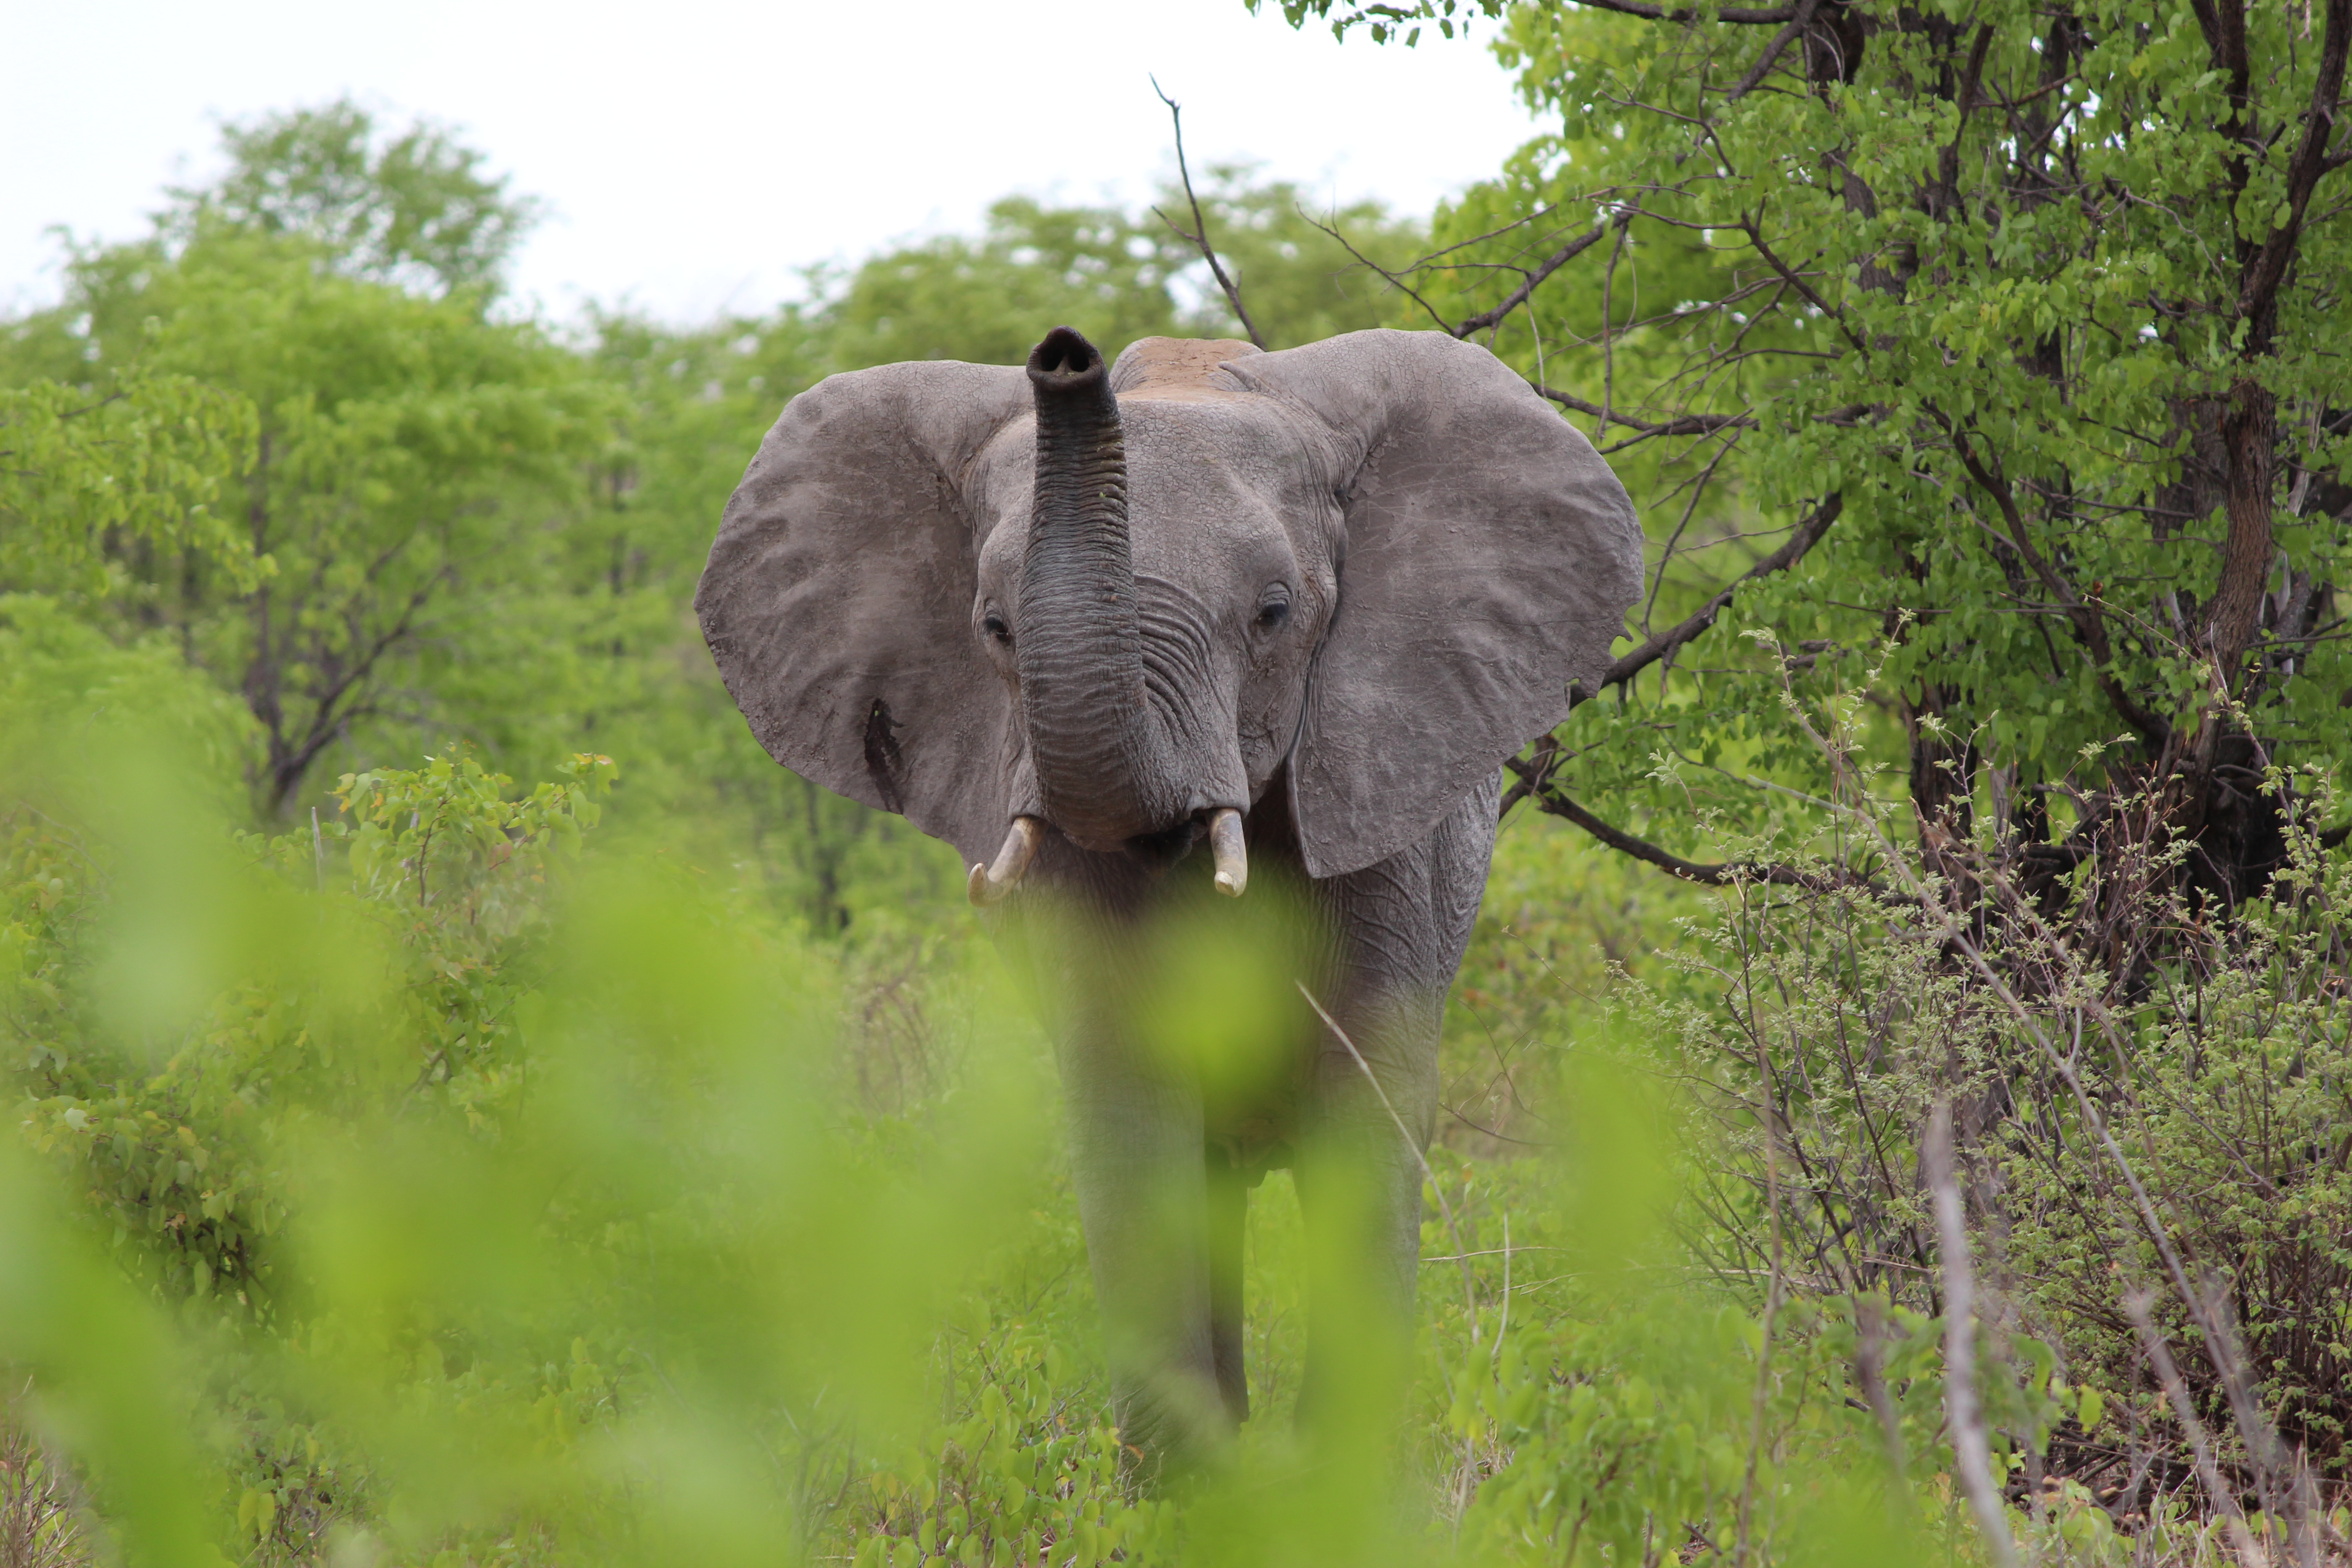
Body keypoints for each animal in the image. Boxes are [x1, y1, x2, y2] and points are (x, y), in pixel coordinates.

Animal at [696, 325, 1641, 1466]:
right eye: (994, 627)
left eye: (1274, 613)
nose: (1064, 357)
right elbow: (1131, 1108)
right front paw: (1196, 1491)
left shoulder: (1383, 791)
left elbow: (1365, 1104)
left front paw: (1339, 1481)